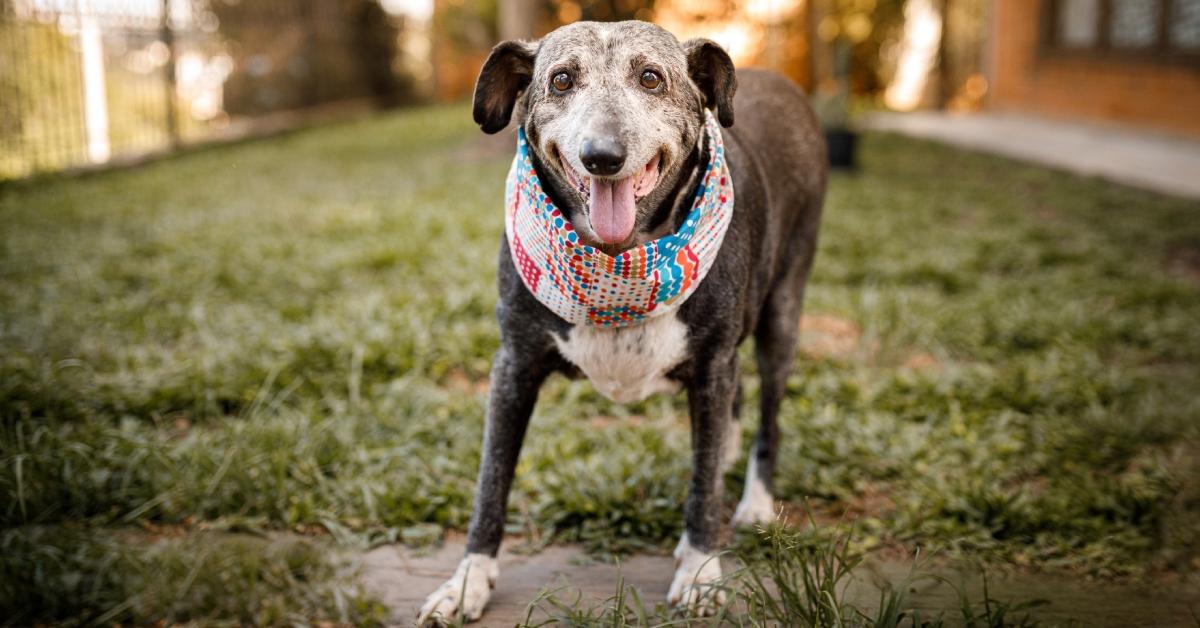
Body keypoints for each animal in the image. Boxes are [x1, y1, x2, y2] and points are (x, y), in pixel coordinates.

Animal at [420, 19, 825, 624]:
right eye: (562, 79)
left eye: (651, 78)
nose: (602, 156)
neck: (618, 262)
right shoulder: (513, 366)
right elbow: (491, 481)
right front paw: (468, 582)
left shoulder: (713, 364)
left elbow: (703, 489)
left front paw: (701, 571)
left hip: (783, 313)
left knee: (767, 415)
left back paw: (753, 502)